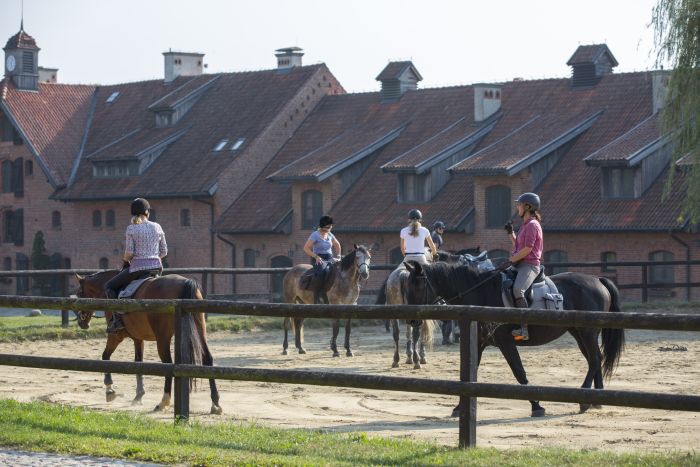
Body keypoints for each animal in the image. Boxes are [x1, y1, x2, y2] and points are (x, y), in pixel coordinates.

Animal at [74, 272, 221, 414]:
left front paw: (109, 390)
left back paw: (163, 402)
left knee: (168, 364)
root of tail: (184, 283)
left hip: (163, 338)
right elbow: (138, 364)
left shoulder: (115, 336)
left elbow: (105, 357)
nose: (81, 322)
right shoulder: (138, 339)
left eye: (80, 293)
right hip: (200, 330)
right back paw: (215, 403)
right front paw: (138, 396)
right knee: (207, 359)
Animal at [402, 262, 628, 418]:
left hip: (587, 332)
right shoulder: (479, 342)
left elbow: (519, 371)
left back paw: (585, 400)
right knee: (594, 359)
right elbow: (469, 373)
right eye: (407, 286)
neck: (481, 294)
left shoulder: (505, 341)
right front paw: (459, 407)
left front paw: (537, 405)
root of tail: (598, 279)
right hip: (579, 333)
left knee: (594, 359)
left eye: (419, 285)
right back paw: (596, 399)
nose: (411, 319)